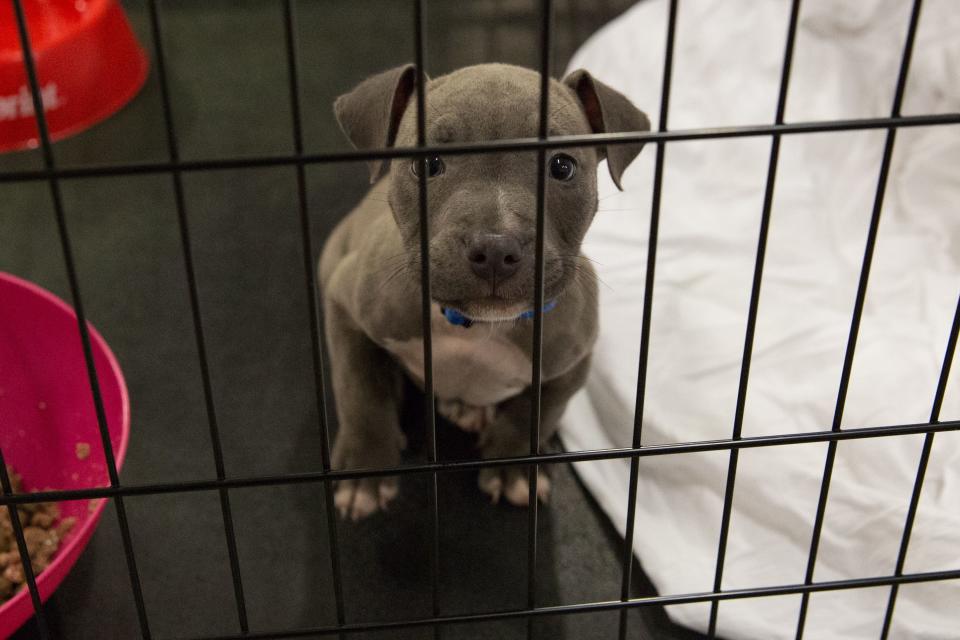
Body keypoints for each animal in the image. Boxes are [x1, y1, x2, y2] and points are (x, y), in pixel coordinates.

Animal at [318, 62, 648, 520]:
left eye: (562, 167)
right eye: (428, 164)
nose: (495, 247)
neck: (474, 326)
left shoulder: (572, 364)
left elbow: (536, 413)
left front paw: (513, 468)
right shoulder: (345, 306)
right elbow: (360, 391)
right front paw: (366, 472)